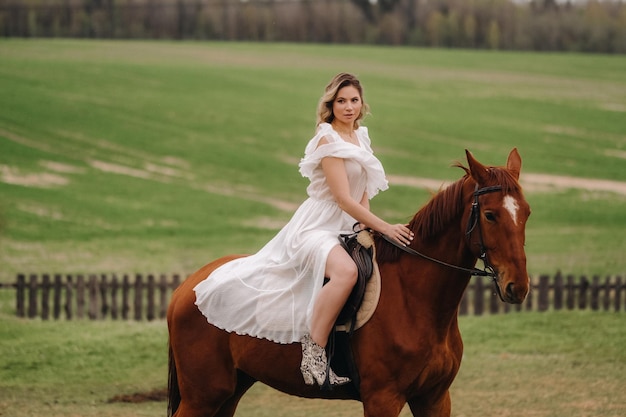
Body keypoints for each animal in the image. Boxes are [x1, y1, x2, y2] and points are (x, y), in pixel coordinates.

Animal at [166, 149, 528, 416]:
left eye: (526, 213)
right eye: (490, 215)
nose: (518, 287)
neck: (415, 300)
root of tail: (188, 287)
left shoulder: (435, 398)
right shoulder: (383, 399)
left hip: (230, 390)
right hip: (204, 395)